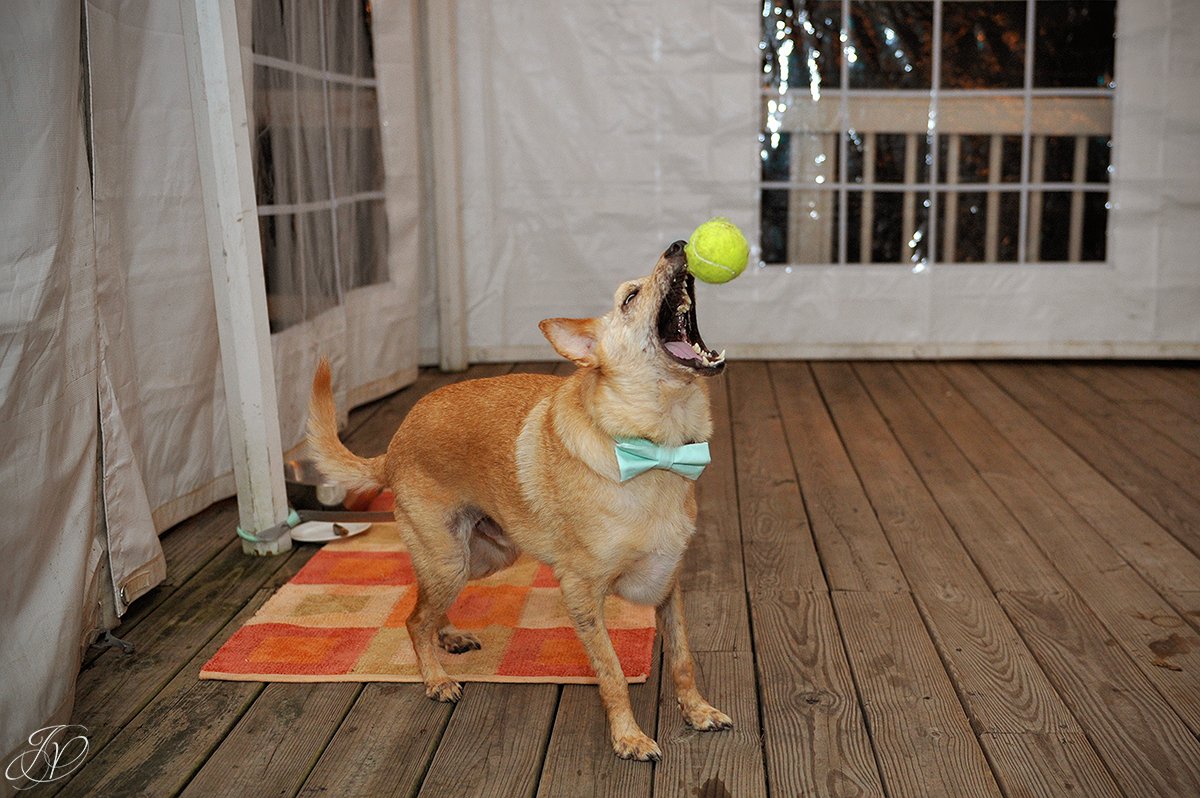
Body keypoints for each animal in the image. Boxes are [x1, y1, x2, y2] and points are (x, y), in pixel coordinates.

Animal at [304, 237, 724, 758]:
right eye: (630, 297)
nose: (678, 245)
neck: (657, 448)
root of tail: (393, 447)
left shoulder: (669, 587)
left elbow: (684, 659)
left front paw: (697, 711)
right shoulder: (581, 594)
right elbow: (611, 673)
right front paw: (627, 736)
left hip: (481, 557)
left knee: (422, 604)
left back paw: (447, 634)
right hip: (450, 559)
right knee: (413, 620)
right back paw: (436, 678)